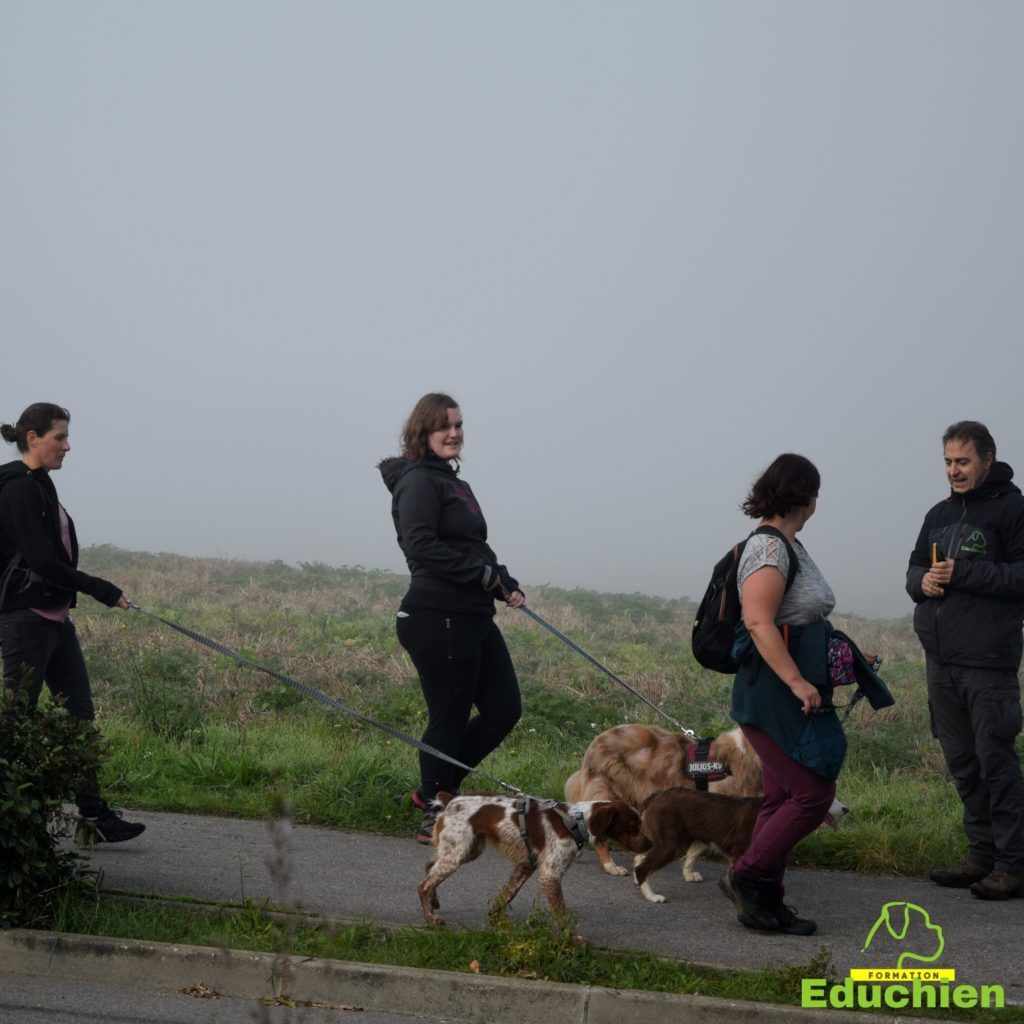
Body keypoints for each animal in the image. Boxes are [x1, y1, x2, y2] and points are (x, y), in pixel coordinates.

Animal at [415, 790, 647, 929]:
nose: (650, 844)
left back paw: (434, 902)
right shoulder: (549, 875)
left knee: (429, 866)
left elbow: (507, 894)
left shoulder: (526, 865)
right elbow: (561, 913)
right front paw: (575, 941)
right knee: (424, 884)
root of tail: (450, 800)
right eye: (633, 826)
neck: (576, 820)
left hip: (468, 850)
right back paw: (430, 918)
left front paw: (496, 919)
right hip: (457, 853)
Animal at [626, 786, 765, 901]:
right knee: (642, 868)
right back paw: (652, 896)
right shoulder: (738, 850)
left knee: (640, 857)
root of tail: (658, 795)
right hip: (672, 843)